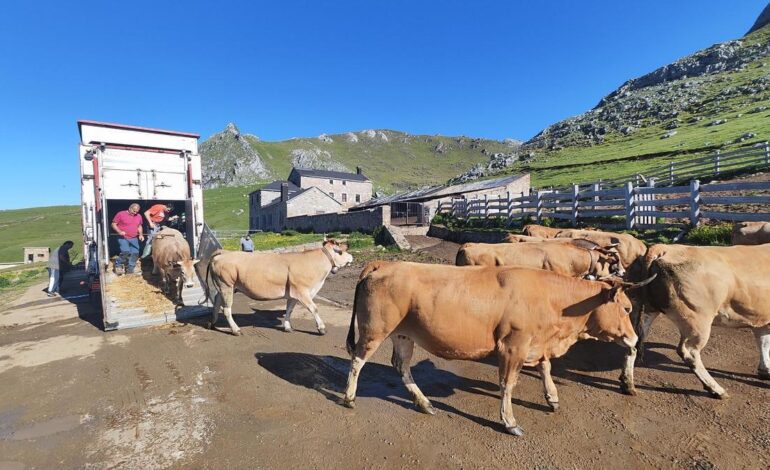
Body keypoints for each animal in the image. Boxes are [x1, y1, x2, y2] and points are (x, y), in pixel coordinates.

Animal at [201, 241, 352, 336]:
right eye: (341, 251)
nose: (351, 257)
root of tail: (223, 253)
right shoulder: (302, 291)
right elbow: (314, 309)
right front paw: (321, 328)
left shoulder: (293, 293)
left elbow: (289, 310)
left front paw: (287, 327)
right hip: (226, 285)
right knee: (226, 309)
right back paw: (235, 330)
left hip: (226, 287)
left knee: (216, 302)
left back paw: (212, 323)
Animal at [342, 262, 656, 436]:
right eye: (627, 308)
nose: (634, 340)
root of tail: (384, 264)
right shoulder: (512, 346)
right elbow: (508, 384)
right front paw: (509, 421)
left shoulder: (536, 342)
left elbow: (545, 366)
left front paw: (552, 397)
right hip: (375, 330)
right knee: (357, 360)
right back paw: (349, 398)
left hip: (403, 333)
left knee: (402, 366)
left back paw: (424, 403)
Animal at [624, 242, 768, 400]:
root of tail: (663, 247)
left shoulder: (760, 318)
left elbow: (763, 342)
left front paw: (765, 370)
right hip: (698, 321)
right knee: (689, 352)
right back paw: (716, 389)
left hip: (641, 309)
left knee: (632, 343)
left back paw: (627, 385)